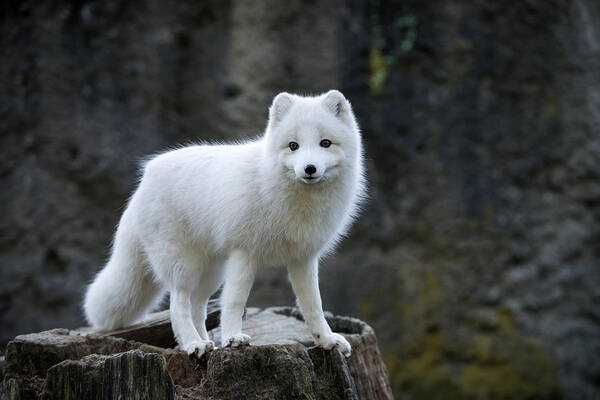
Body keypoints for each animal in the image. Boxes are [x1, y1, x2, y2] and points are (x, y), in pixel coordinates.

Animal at [83, 90, 366, 356]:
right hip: (183, 265)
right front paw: (232, 338)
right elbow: (234, 301)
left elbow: (314, 305)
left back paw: (209, 344)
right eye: (293, 145)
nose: (309, 169)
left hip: (212, 271)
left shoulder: (303, 257)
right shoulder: (244, 252)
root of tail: (144, 179)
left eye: (325, 143)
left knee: (197, 306)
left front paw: (326, 340)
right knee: (178, 304)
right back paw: (194, 344)